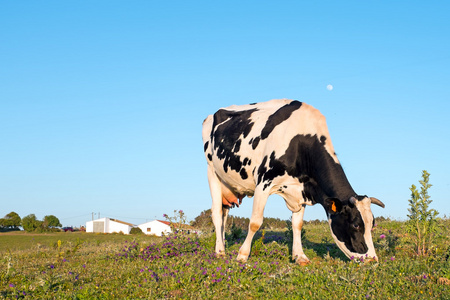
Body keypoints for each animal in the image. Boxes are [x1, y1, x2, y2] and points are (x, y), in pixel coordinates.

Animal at [202, 99, 384, 264]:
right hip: (212, 171)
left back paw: (222, 245)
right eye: (355, 225)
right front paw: (242, 255)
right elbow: (255, 222)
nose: (372, 259)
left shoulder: (301, 190)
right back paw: (220, 252)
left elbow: (297, 224)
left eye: (372, 225)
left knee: (224, 214)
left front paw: (300, 256)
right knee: (217, 213)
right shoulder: (263, 182)